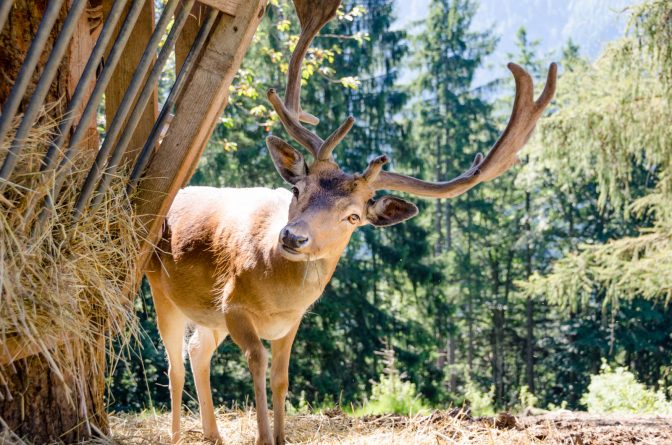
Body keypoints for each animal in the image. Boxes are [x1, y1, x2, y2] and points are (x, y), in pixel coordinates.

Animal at [144, 0, 560, 444]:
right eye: (298, 189)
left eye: (353, 216)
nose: (292, 237)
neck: (277, 294)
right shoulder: (233, 305)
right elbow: (257, 365)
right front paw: (262, 436)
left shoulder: (290, 323)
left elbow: (281, 378)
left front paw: (281, 435)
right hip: (160, 287)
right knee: (174, 362)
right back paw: (175, 434)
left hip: (207, 316)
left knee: (197, 351)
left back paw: (213, 434)